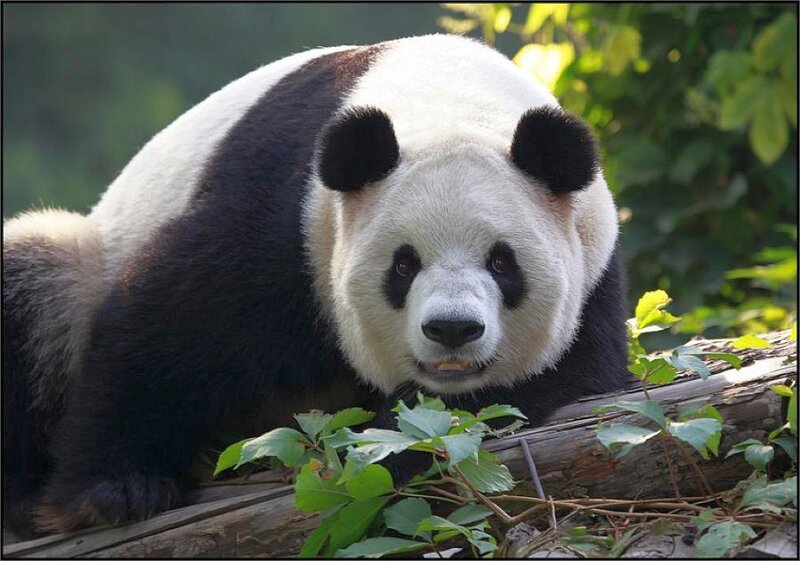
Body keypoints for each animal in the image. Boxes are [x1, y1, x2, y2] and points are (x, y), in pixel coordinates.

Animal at [2, 34, 629, 536]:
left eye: (502, 263)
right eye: (404, 265)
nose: (452, 329)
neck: (451, 105)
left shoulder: (594, 273)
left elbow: (546, 382)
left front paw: (388, 450)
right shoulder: (289, 217)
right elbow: (165, 327)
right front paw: (115, 491)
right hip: (81, 261)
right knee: (35, 275)